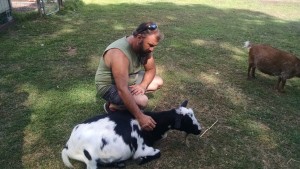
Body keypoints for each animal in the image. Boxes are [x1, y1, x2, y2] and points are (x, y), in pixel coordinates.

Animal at [61, 100, 202, 168]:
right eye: (187, 120)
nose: (200, 130)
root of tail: (68, 146)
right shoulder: (141, 149)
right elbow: (158, 153)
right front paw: (142, 160)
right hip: (90, 160)